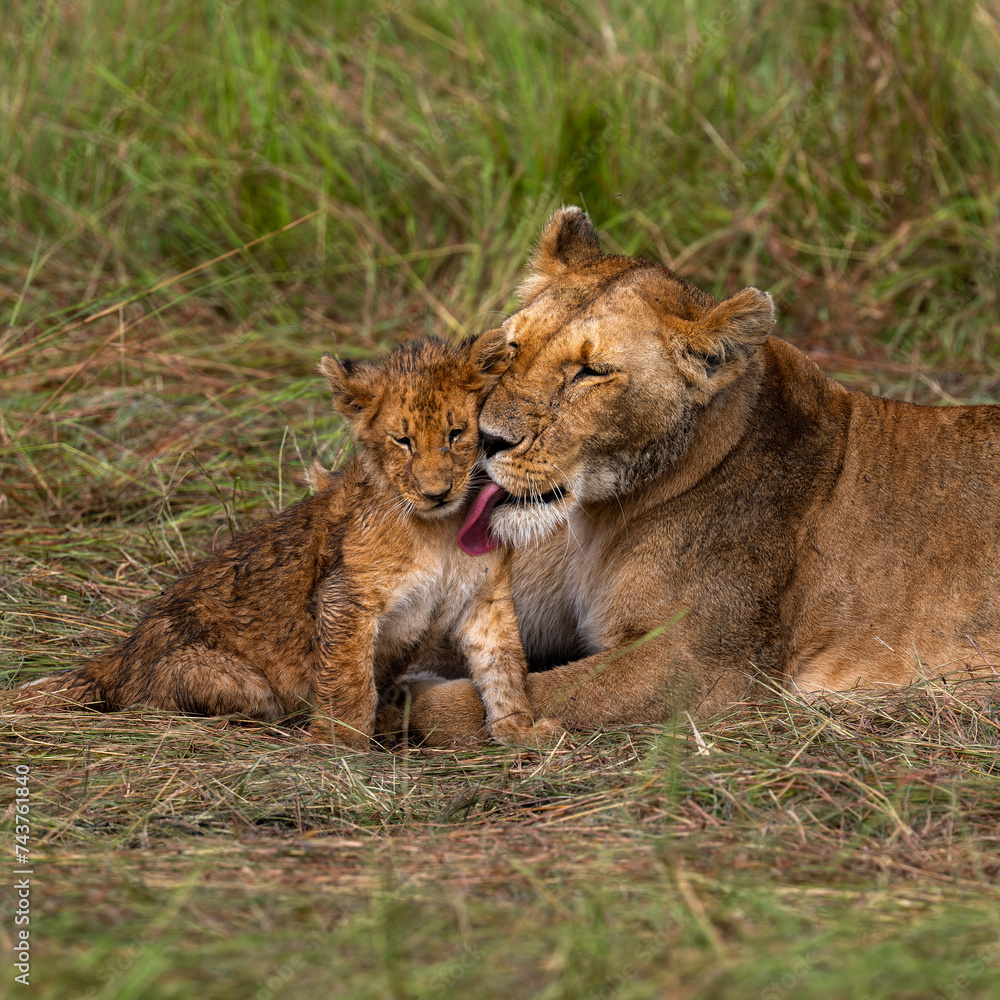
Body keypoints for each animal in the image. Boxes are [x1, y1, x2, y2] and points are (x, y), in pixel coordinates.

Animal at [12, 334, 561, 748]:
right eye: (403, 441)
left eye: (455, 434)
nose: (436, 491)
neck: (440, 531)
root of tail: (121, 652)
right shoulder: (345, 598)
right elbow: (348, 681)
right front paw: (339, 745)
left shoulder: (483, 599)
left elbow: (504, 668)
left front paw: (521, 731)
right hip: (232, 680)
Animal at [393, 206, 1000, 745]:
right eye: (513, 346)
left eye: (591, 372)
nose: (485, 438)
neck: (600, 521)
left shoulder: (701, 666)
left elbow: (532, 695)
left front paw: (410, 699)